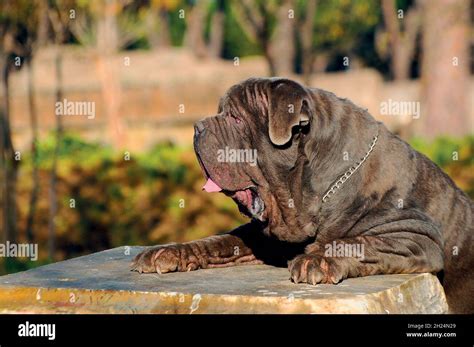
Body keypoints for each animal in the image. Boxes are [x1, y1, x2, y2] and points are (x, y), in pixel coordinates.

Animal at [131, 77, 474, 314]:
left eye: (236, 119)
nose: (197, 126)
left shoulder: (415, 235)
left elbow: (358, 241)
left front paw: (316, 259)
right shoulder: (266, 236)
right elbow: (219, 241)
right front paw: (168, 251)